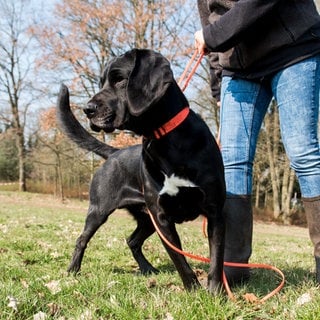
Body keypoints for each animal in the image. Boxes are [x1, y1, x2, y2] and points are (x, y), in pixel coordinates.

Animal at [57, 49, 226, 292]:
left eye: (120, 79)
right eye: (101, 82)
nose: (87, 109)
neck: (166, 138)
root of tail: (114, 152)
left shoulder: (215, 211)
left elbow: (217, 259)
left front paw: (215, 292)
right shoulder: (162, 217)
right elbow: (180, 260)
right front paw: (193, 290)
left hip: (146, 219)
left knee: (132, 240)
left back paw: (147, 268)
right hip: (99, 210)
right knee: (82, 239)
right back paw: (73, 270)